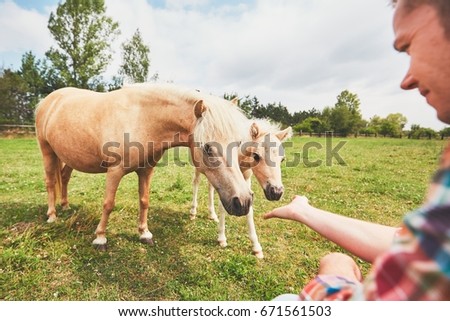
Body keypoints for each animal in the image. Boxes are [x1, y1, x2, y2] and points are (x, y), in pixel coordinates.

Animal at [34, 82, 253, 248]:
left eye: (238, 143)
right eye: (208, 148)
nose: (243, 202)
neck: (141, 118)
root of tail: (47, 101)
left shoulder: (146, 171)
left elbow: (144, 201)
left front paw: (144, 233)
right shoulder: (114, 171)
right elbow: (108, 204)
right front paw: (100, 238)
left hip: (67, 156)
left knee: (64, 177)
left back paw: (65, 205)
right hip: (47, 151)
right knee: (50, 182)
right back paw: (52, 215)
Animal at [189, 117, 292, 258]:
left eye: (282, 159)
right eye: (256, 156)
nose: (276, 192)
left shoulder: (245, 180)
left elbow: (249, 208)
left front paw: (256, 247)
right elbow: (223, 206)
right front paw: (222, 238)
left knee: (210, 187)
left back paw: (212, 214)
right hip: (199, 167)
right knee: (196, 182)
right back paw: (193, 212)